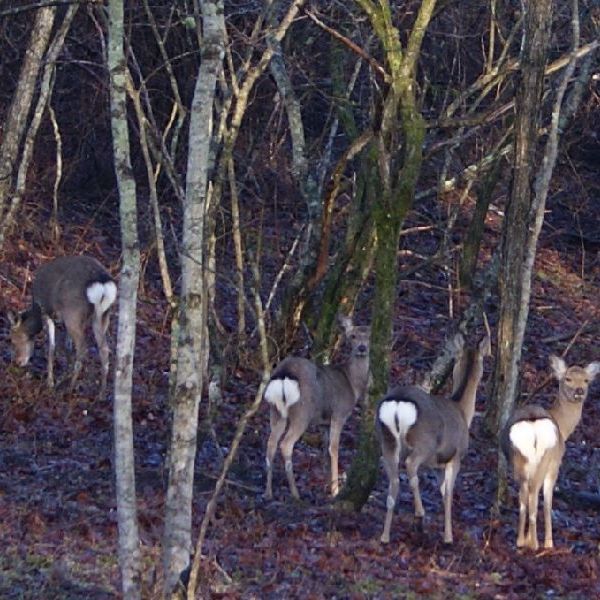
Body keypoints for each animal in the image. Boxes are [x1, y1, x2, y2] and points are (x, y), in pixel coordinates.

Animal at [8, 255, 117, 396]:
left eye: (13, 340)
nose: (18, 362)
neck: (36, 308)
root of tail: (102, 282)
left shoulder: (47, 312)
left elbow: (51, 347)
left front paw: (50, 382)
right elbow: (67, 346)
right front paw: (65, 374)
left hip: (73, 313)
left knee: (83, 349)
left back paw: (70, 388)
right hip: (102, 315)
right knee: (104, 349)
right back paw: (101, 393)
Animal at [264, 316, 370, 500]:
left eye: (369, 337)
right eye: (353, 336)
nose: (362, 348)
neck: (353, 385)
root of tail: (284, 374)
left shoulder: (323, 423)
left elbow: (325, 452)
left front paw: (327, 486)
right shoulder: (339, 413)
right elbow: (333, 449)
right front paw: (335, 491)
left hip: (276, 411)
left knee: (271, 443)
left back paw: (268, 492)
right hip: (302, 411)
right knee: (285, 444)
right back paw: (295, 494)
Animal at [378, 326, 490, 548]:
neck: (463, 412)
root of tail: (397, 404)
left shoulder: (437, 465)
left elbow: (442, 491)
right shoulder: (455, 456)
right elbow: (448, 494)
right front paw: (448, 537)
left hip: (387, 440)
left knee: (393, 481)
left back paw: (385, 536)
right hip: (424, 441)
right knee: (411, 465)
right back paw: (419, 513)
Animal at [502, 354, 600, 552]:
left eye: (586, 380)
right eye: (567, 378)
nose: (579, 391)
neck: (563, 426)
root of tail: (532, 423)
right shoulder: (556, 464)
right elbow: (548, 503)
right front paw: (548, 541)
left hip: (519, 460)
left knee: (523, 496)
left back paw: (520, 540)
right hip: (545, 459)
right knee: (534, 495)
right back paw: (536, 543)